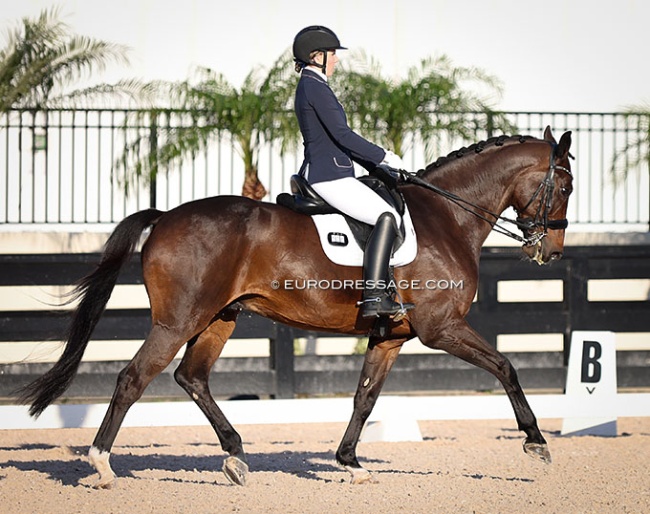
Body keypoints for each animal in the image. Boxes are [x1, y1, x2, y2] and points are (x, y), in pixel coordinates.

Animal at [17, 124, 568, 484]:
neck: (446, 217)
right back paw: (102, 463)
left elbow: (365, 398)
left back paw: (236, 456)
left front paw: (349, 462)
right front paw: (536, 443)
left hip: (219, 318)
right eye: (564, 184)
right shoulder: (443, 329)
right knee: (134, 378)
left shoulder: (390, 337)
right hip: (178, 321)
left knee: (191, 378)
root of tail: (167, 215)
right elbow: (506, 366)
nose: (552, 251)